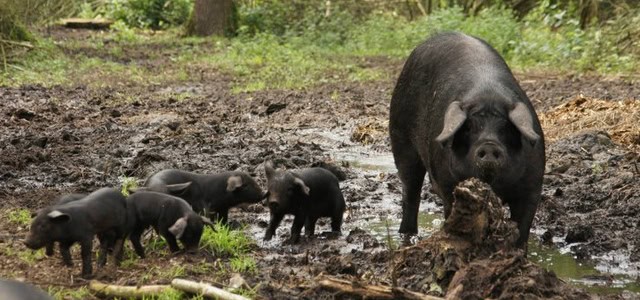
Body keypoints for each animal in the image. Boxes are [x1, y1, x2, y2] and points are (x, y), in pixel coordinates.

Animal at [390, 32, 544, 248]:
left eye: (506, 127)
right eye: (469, 127)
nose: (489, 145)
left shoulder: (532, 187)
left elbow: (523, 229)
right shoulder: (448, 185)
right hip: (400, 137)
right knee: (410, 192)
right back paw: (407, 236)